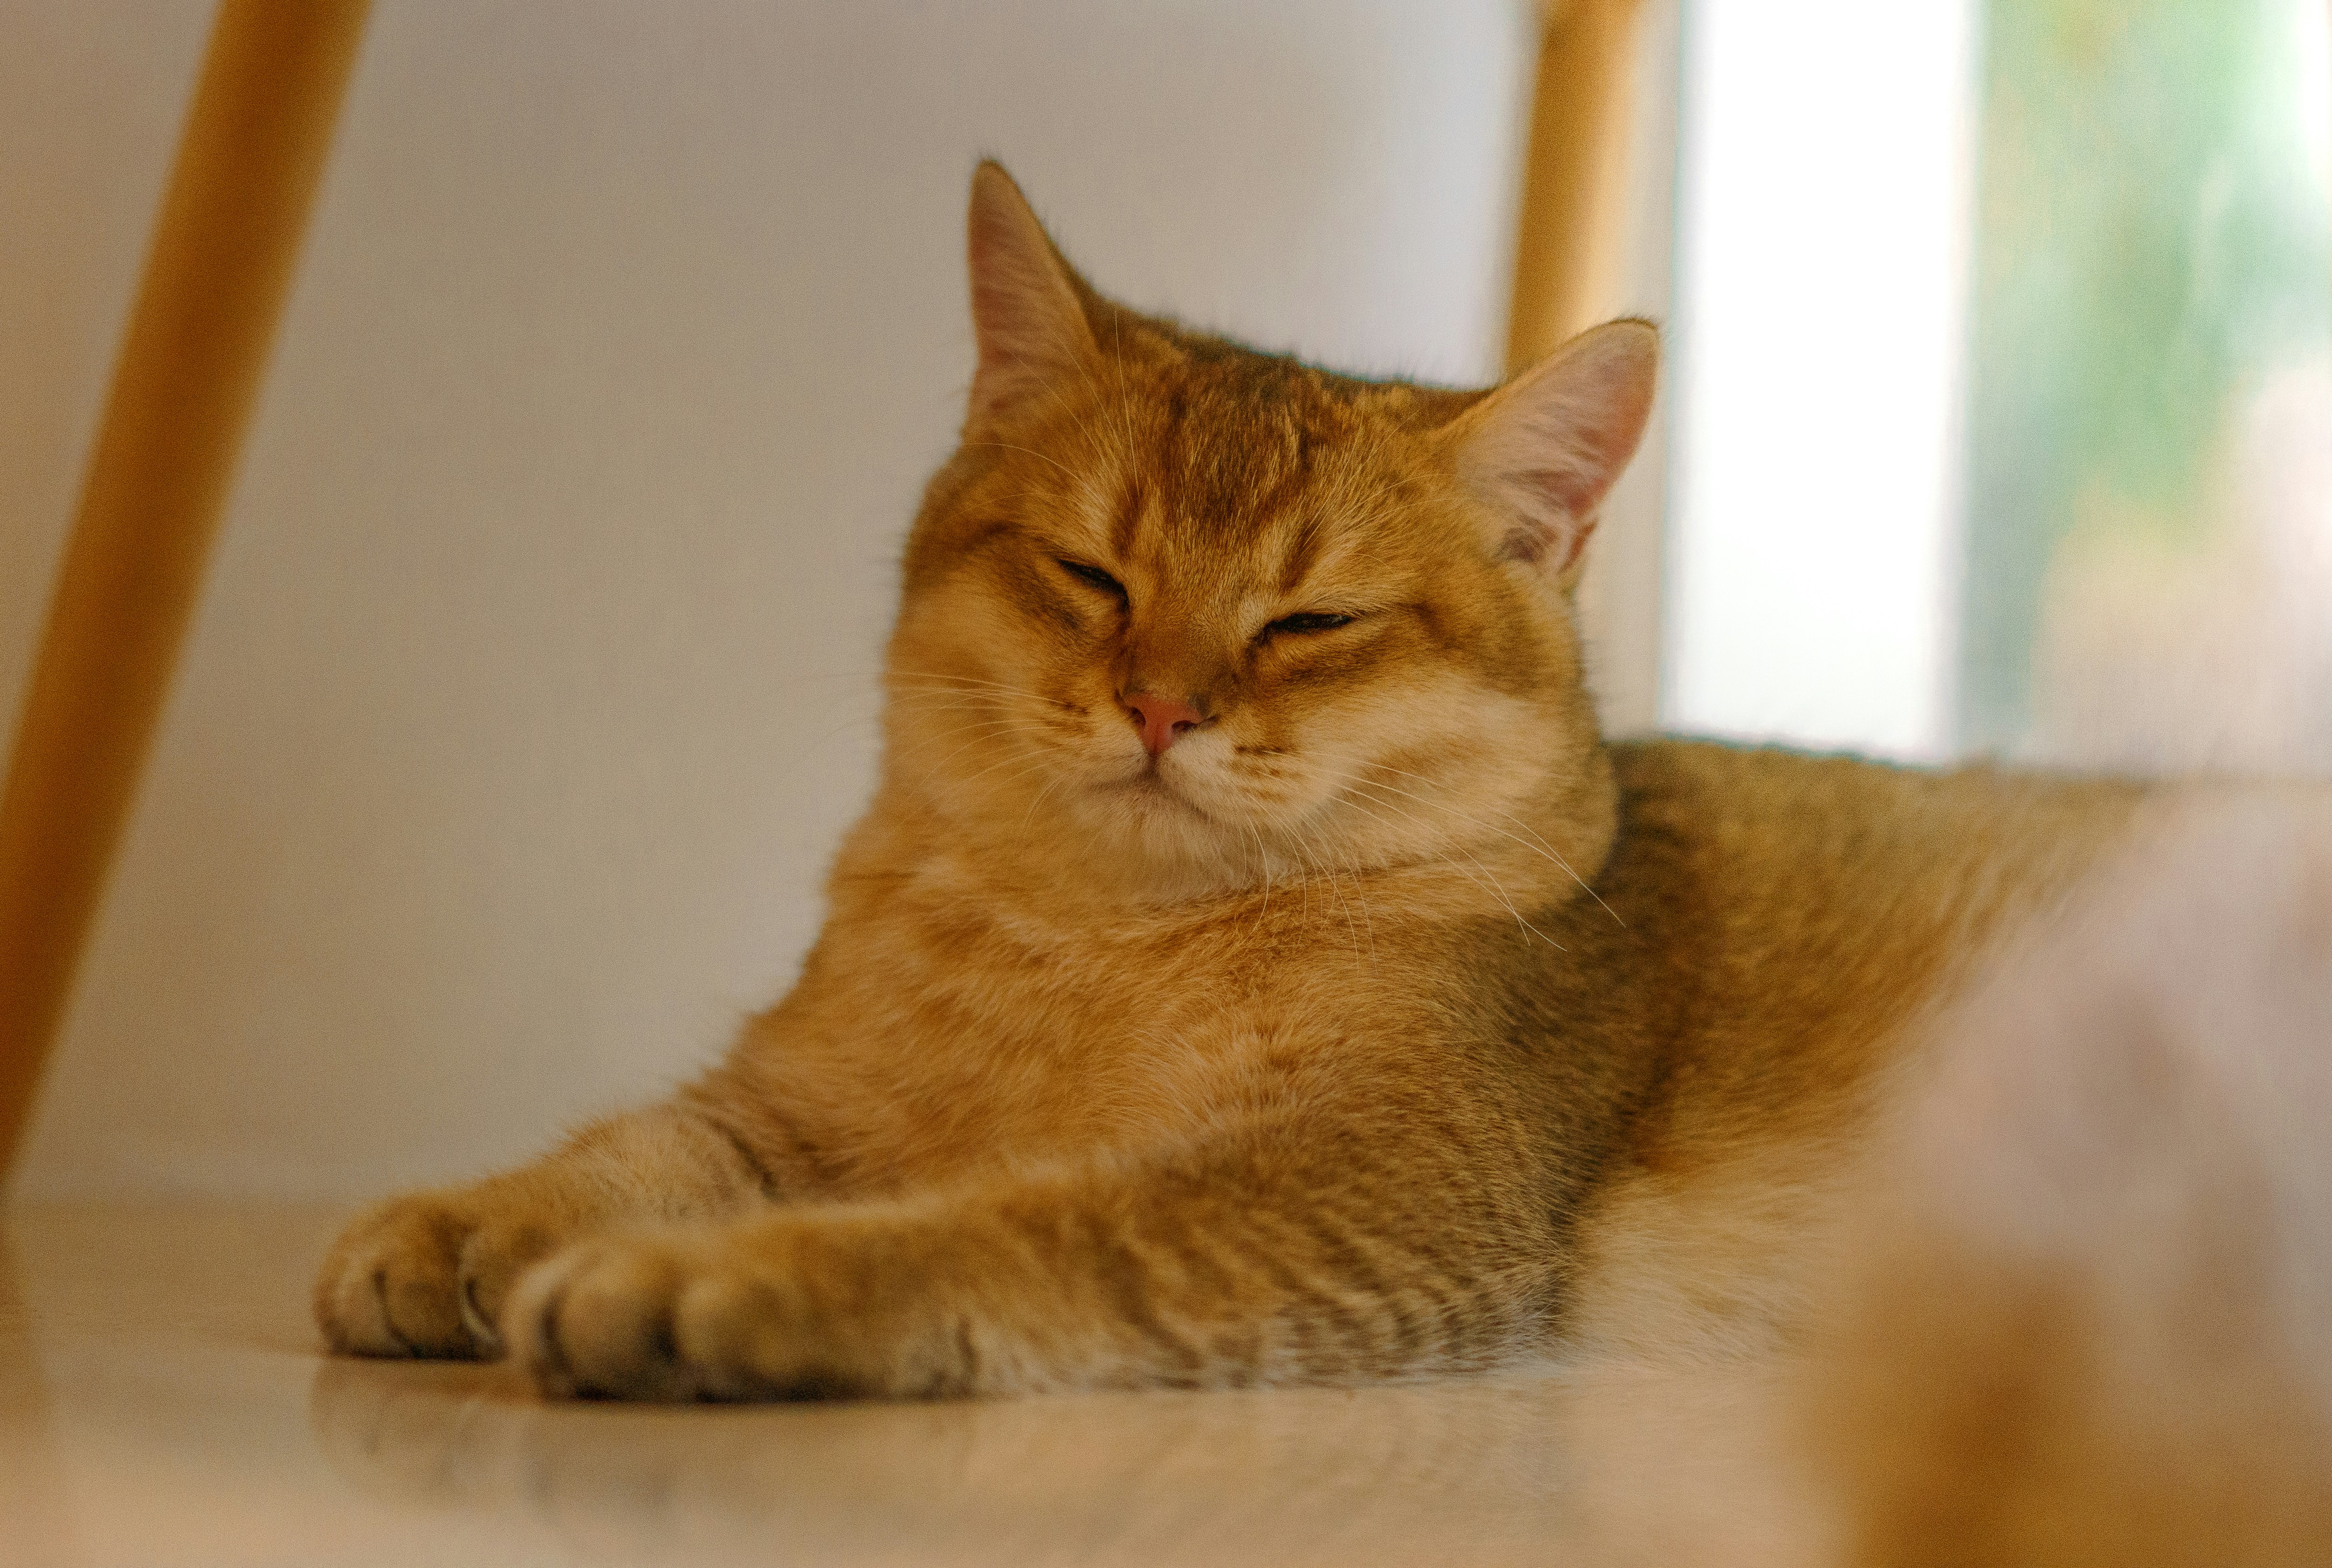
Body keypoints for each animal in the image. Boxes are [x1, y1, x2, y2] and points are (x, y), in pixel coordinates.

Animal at [319, 162, 2136, 1398]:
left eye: (1308, 620)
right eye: (1090, 574)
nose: (1156, 706)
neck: (1093, 949)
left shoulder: (1368, 1180)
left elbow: (1019, 1225)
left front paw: (719, 1282)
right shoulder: (797, 1100)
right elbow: (636, 1142)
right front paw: (464, 1223)